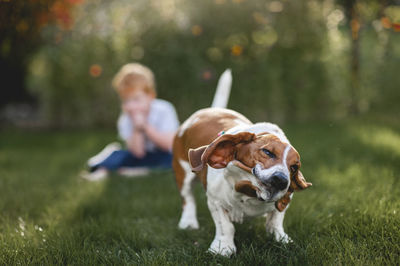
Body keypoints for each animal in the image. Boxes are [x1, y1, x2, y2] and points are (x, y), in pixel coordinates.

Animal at [170, 69, 310, 256]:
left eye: (294, 167)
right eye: (267, 152)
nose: (281, 180)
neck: (249, 193)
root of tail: (211, 110)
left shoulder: (283, 203)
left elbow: (275, 221)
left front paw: (282, 239)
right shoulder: (215, 201)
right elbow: (225, 227)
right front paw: (223, 248)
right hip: (183, 173)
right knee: (188, 198)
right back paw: (188, 222)